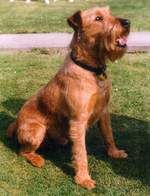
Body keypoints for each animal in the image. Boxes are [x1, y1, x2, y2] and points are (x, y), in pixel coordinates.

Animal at [7, 7, 130, 190]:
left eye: (110, 12)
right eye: (98, 18)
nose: (127, 22)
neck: (90, 69)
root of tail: (16, 123)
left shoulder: (103, 111)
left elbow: (108, 135)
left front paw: (114, 153)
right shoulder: (78, 121)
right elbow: (81, 153)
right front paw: (83, 179)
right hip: (37, 130)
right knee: (23, 151)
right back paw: (36, 159)